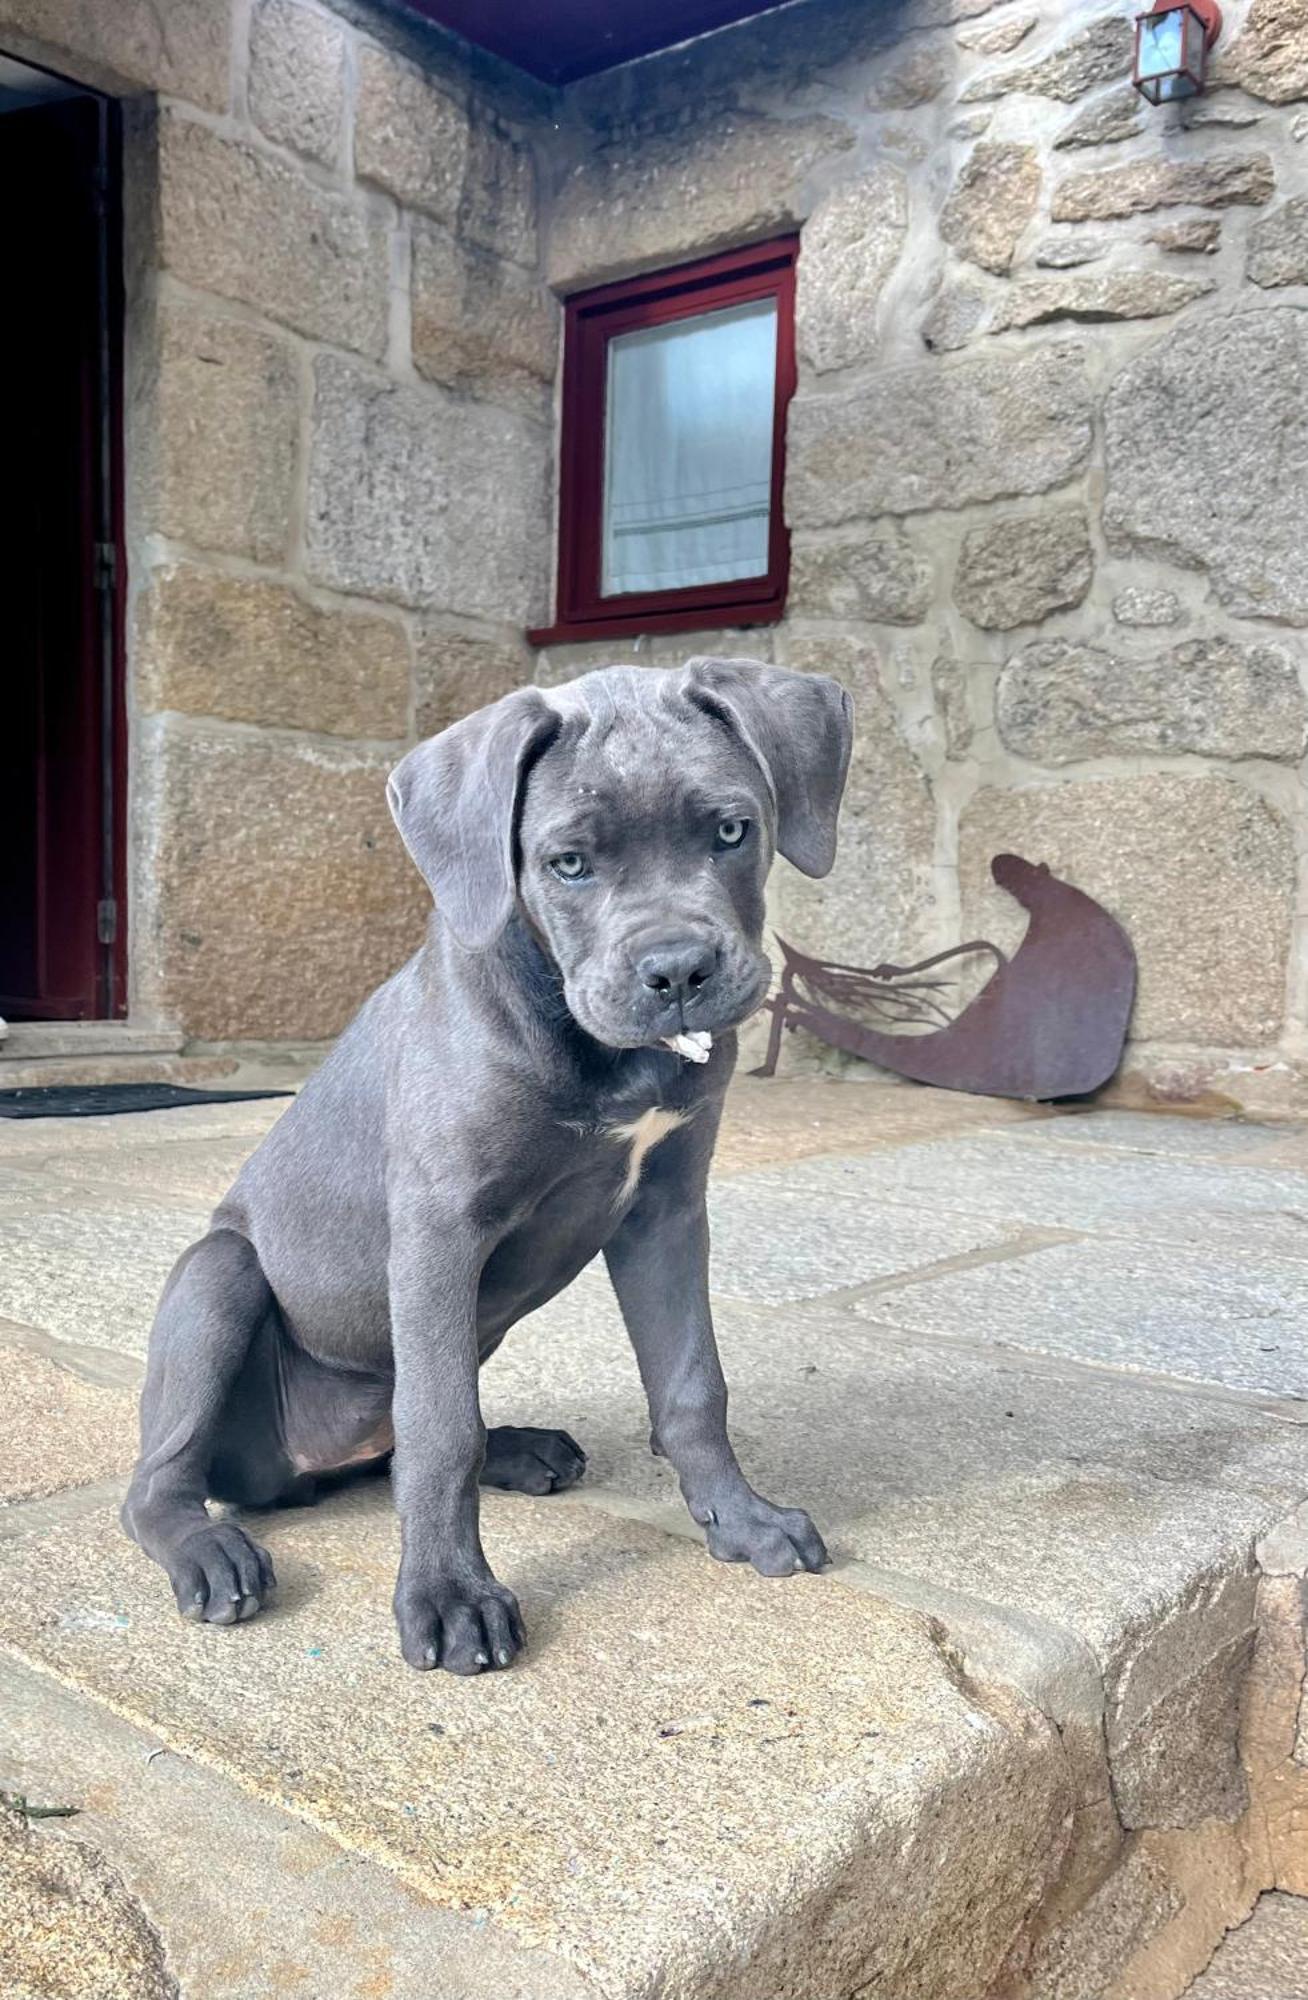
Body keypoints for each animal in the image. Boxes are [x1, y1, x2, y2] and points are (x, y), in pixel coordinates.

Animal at [123, 656, 856, 1672]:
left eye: (731, 830)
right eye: (569, 863)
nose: (677, 971)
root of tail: (297, 1471)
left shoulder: (666, 1212)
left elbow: (692, 1385)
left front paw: (742, 1521)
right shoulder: (441, 1231)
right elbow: (441, 1430)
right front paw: (449, 1595)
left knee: (390, 1446)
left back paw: (523, 1448)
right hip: (218, 1277)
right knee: (163, 1480)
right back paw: (207, 1550)